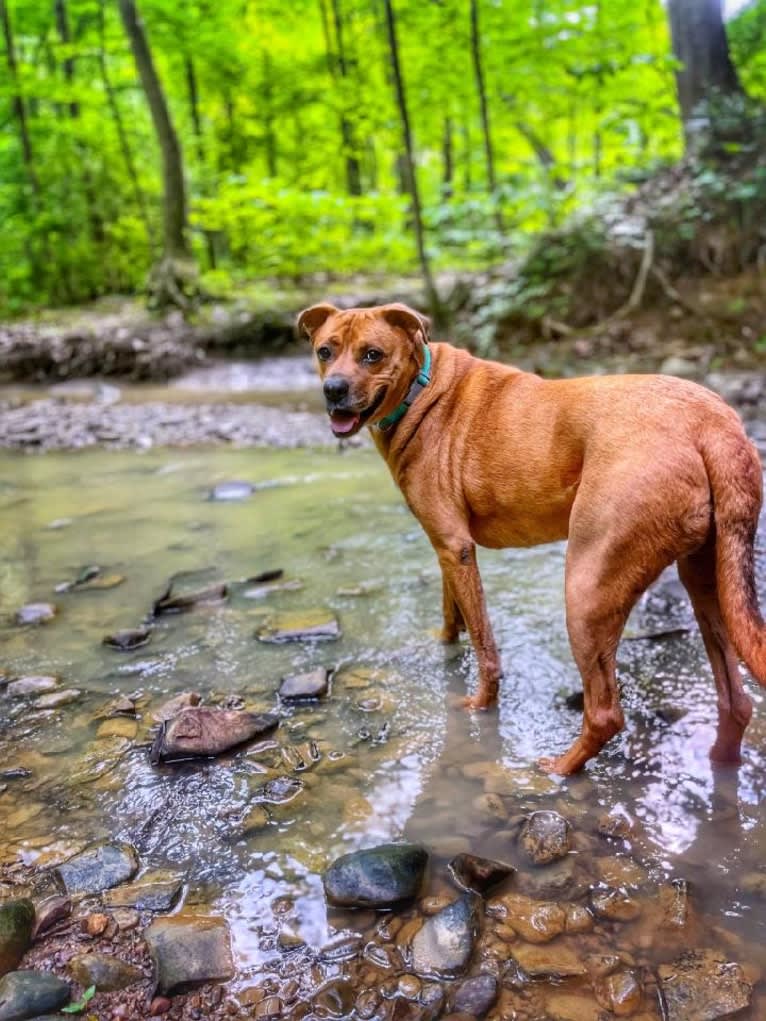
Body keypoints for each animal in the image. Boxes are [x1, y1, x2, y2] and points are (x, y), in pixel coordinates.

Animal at [296, 302, 763, 771]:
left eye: (372, 355)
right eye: (324, 351)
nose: (333, 390)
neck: (421, 389)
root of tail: (715, 424)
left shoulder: (456, 547)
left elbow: (484, 645)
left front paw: (479, 706)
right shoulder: (446, 546)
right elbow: (451, 612)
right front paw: (443, 646)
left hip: (587, 588)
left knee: (605, 713)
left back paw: (558, 770)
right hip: (708, 584)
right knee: (736, 702)